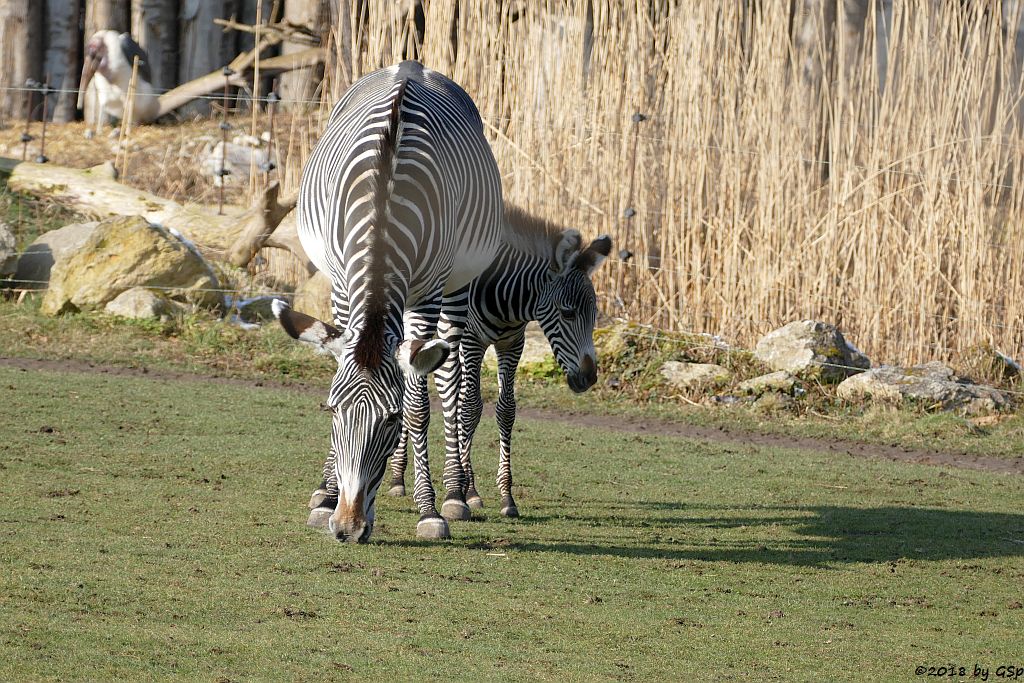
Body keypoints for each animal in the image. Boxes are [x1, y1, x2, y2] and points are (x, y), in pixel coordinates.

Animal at [272, 63, 503, 544]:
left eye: (391, 419)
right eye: (331, 412)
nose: (347, 528)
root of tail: (412, 66)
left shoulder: (430, 291)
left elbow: (419, 404)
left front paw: (429, 510)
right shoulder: (341, 284)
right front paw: (325, 496)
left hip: (459, 285)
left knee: (449, 382)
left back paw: (455, 492)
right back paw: (394, 481)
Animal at [385, 208, 606, 518]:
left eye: (594, 314)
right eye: (568, 313)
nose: (589, 377)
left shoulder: (512, 344)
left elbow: (506, 410)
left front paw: (506, 496)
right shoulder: (470, 341)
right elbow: (470, 407)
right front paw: (468, 491)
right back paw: (397, 477)